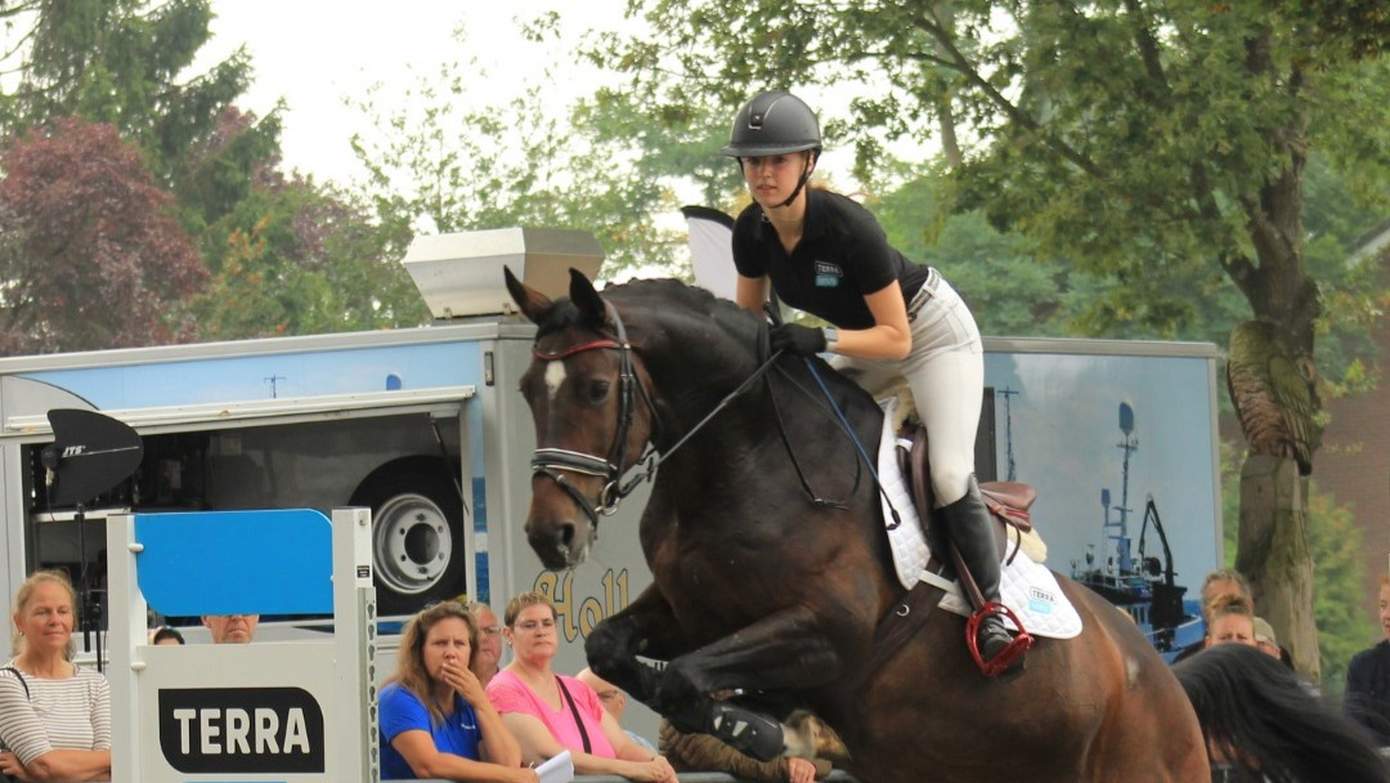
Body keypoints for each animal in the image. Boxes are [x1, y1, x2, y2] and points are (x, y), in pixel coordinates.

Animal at [503, 267, 1206, 778]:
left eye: (596, 389)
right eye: (527, 389)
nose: (550, 534)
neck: (745, 456)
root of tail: (1160, 673)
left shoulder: (827, 631)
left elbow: (683, 678)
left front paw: (766, 727)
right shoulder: (691, 613)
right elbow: (610, 650)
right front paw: (763, 722)